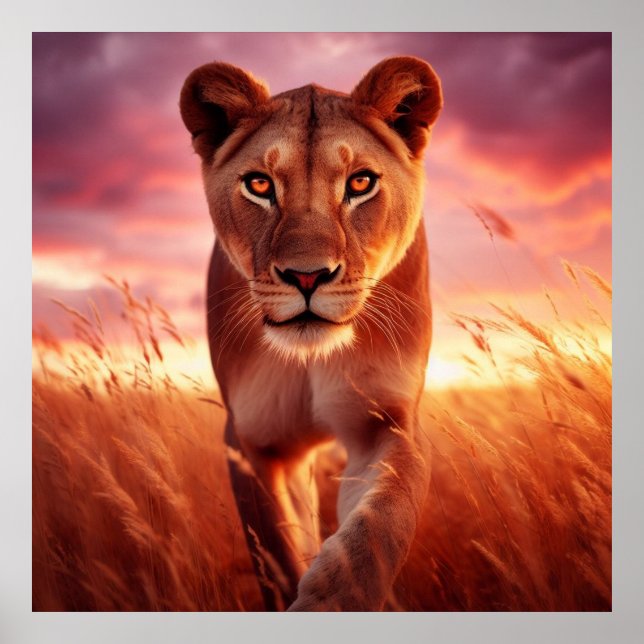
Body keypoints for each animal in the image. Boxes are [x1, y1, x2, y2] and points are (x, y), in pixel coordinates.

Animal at [180, 56, 442, 611]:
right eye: (259, 185)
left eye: (360, 183)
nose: (307, 276)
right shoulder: (255, 442)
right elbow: (278, 552)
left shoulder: (386, 420)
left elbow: (380, 524)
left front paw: (335, 599)